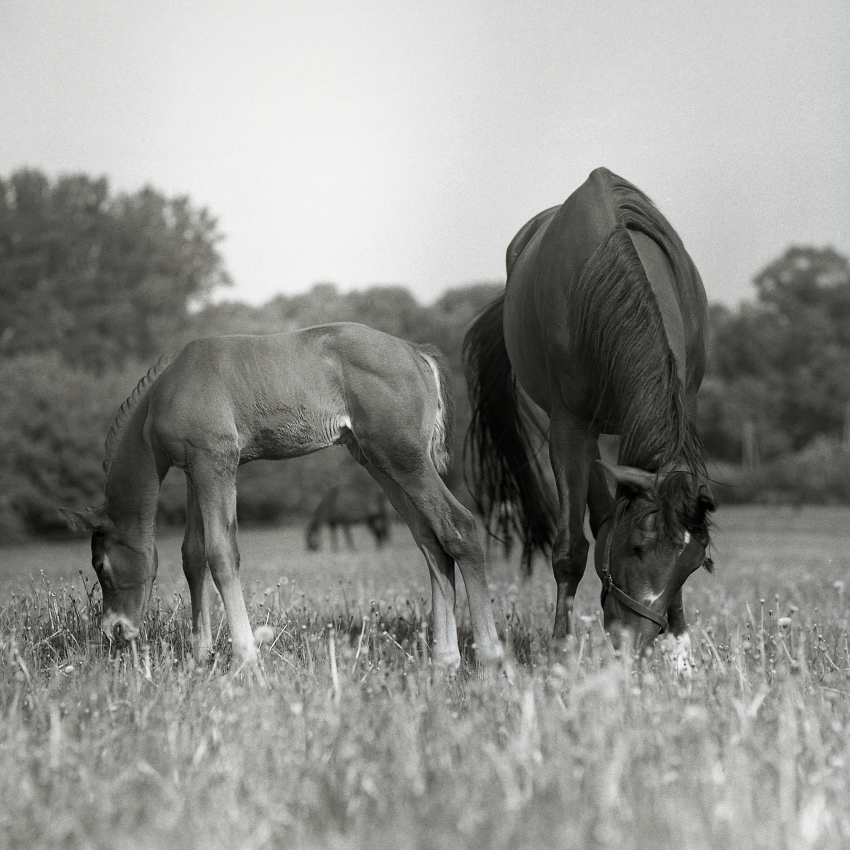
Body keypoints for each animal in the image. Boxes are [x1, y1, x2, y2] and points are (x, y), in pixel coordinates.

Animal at [66, 322, 506, 672]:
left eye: (101, 566)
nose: (115, 631)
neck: (165, 392)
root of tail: (417, 353)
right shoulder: (195, 468)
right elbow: (193, 555)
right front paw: (201, 654)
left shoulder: (216, 461)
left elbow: (221, 553)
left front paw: (245, 658)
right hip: (379, 462)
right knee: (430, 540)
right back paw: (444, 661)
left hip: (404, 458)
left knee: (459, 526)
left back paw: (489, 658)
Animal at [464, 167, 716, 656]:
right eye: (636, 547)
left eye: (694, 564)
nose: (633, 643)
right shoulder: (569, 425)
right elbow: (570, 548)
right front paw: (561, 650)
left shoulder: (684, 407)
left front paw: (681, 653)